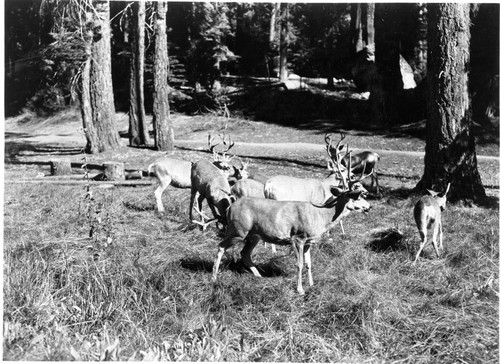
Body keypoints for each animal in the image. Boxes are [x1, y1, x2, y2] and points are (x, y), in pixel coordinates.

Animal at [211, 149, 372, 294]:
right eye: (357, 196)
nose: (369, 206)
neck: (320, 215)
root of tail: (230, 207)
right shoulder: (298, 237)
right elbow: (299, 264)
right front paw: (300, 290)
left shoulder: (308, 241)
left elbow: (308, 263)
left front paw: (312, 284)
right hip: (238, 230)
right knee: (221, 246)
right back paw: (214, 278)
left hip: (254, 235)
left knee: (244, 253)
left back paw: (259, 276)